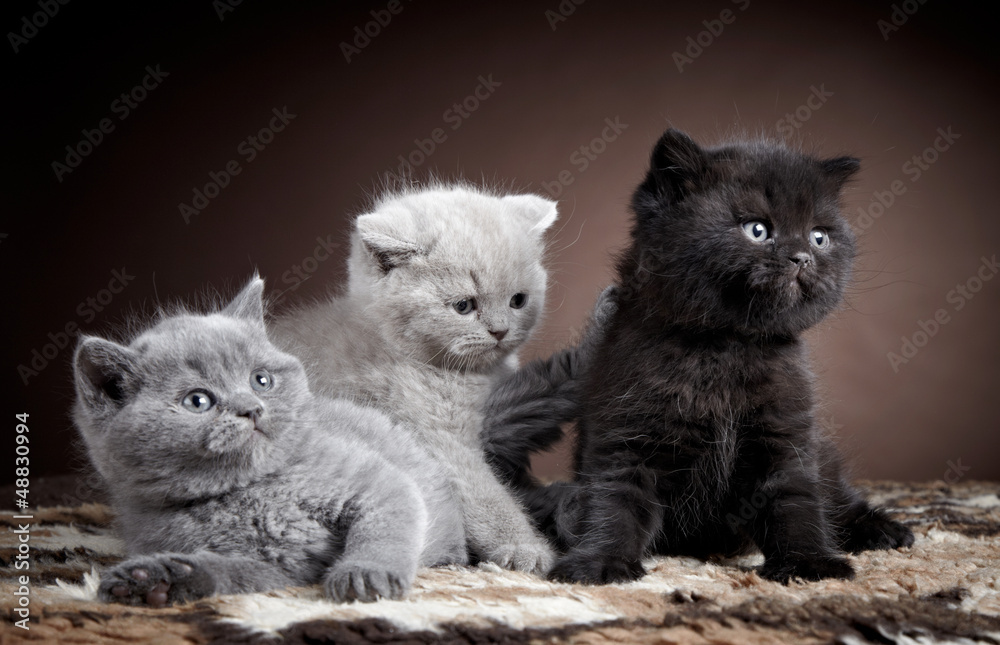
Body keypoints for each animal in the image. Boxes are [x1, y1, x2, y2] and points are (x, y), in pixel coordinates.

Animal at [72, 276, 466, 604]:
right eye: (198, 401)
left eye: (260, 380)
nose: (251, 408)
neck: (250, 490)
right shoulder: (277, 565)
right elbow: (231, 572)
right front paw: (157, 580)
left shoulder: (379, 483)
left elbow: (385, 528)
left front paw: (364, 574)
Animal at [270, 182, 560, 572]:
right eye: (464, 306)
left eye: (518, 300)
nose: (500, 331)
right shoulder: (435, 436)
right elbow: (484, 495)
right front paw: (523, 548)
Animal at [532, 130, 916, 584]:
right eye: (757, 229)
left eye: (819, 236)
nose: (802, 257)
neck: (726, 348)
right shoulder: (625, 432)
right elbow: (613, 499)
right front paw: (600, 562)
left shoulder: (785, 434)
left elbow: (795, 499)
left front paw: (808, 563)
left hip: (822, 453)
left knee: (837, 496)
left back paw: (882, 529)